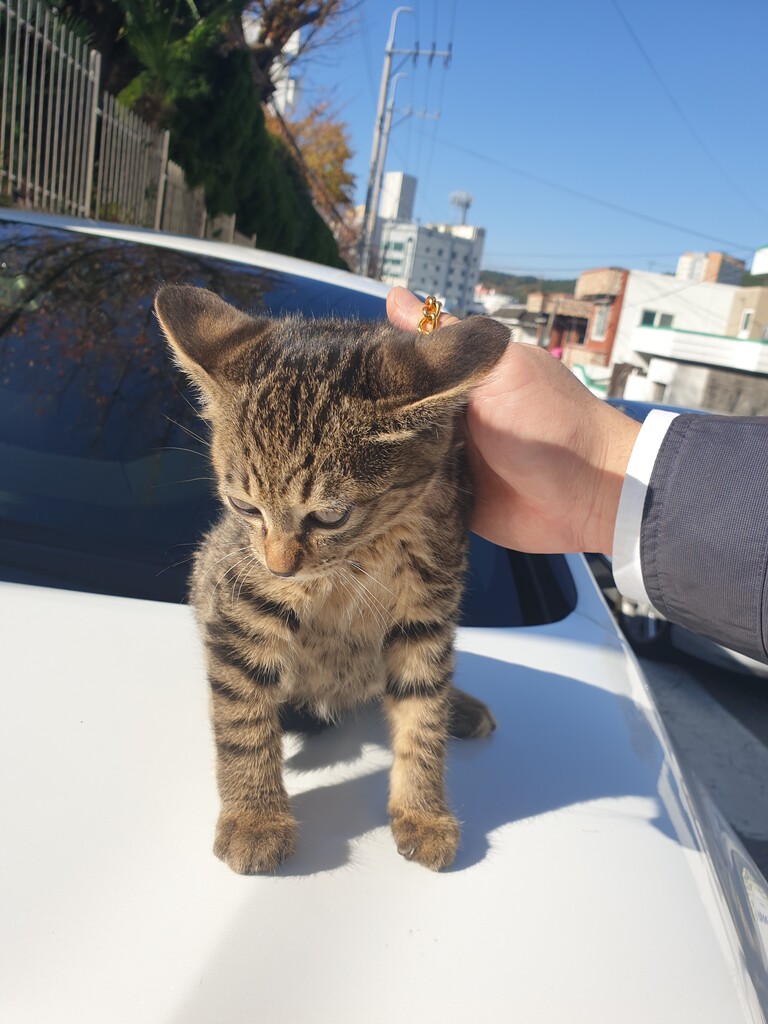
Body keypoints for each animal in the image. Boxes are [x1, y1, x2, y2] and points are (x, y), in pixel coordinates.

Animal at [154, 284, 510, 873]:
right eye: (244, 507)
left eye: (330, 516)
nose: (280, 565)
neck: (365, 552)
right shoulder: (242, 600)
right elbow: (242, 717)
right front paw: (254, 819)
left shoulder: (428, 609)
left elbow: (422, 713)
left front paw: (422, 813)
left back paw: (459, 706)